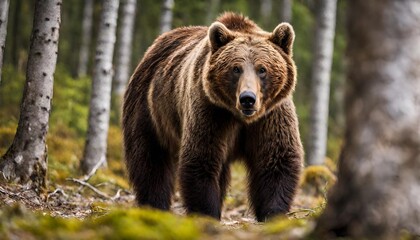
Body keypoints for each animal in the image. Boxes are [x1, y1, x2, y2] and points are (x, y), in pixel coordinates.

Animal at [123, 11, 304, 221]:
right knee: (150, 160)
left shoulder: (271, 116)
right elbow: (201, 159)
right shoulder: (211, 111)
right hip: (150, 110)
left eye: (262, 69)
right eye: (236, 68)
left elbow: (276, 159)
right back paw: (153, 206)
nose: (247, 99)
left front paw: (273, 214)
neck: (240, 117)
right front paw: (207, 214)